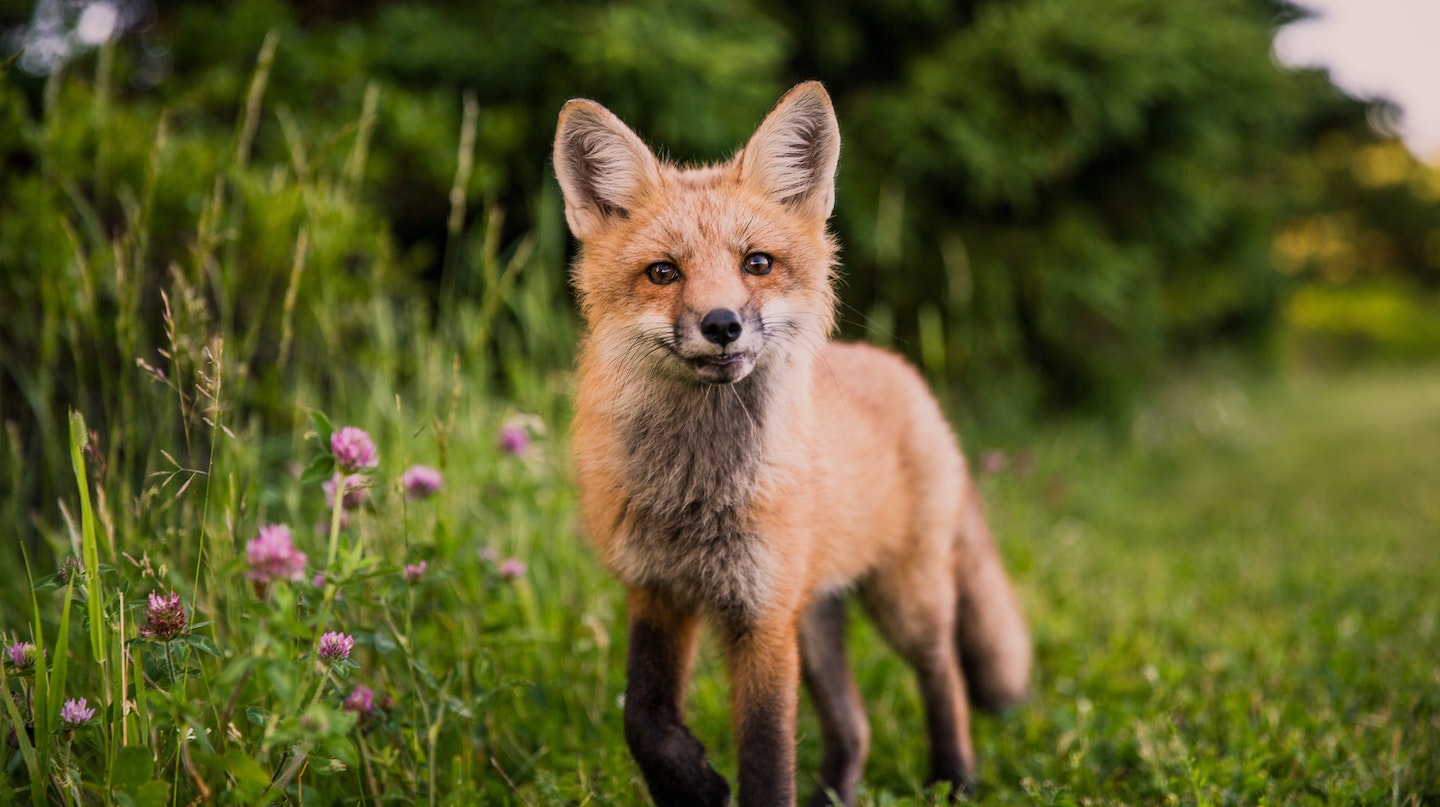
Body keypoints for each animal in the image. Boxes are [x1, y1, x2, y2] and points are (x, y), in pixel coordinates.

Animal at [552, 81, 1032, 807]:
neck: (697, 495)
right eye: (663, 272)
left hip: (904, 599)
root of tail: (904, 373)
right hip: (816, 619)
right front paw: (691, 784)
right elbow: (643, 717)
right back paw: (838, 791)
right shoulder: (659, 589)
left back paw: (955, 778)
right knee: (857, 723)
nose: (722, 323)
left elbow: (767, 757)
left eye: (757, 264)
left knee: (944, 673)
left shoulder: (762, 615)